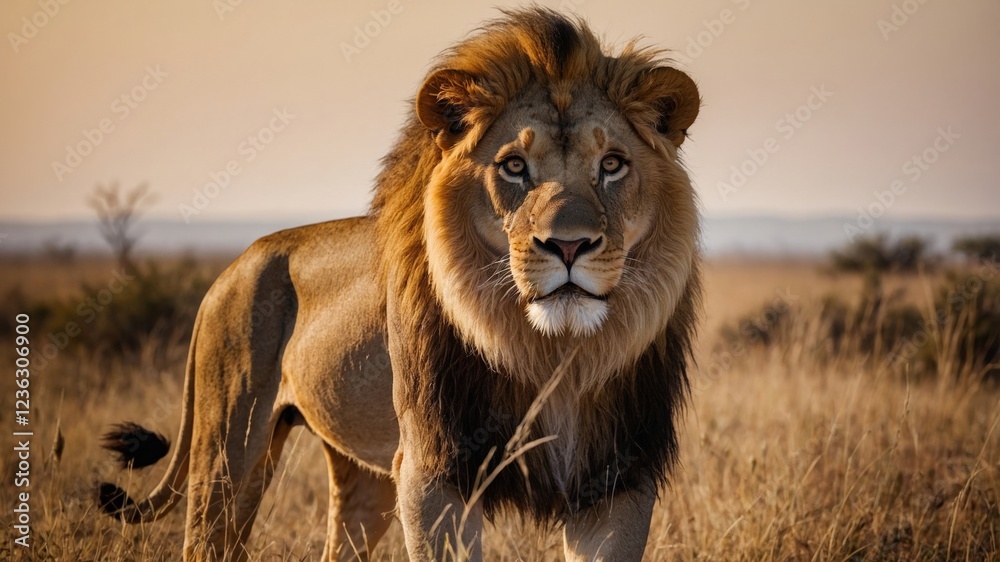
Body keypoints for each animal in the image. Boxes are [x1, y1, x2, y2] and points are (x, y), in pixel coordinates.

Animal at [96, 8, 702, 561]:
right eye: (512, 166)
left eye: (613, 164)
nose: (570, 246)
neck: (551, 353)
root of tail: (230, 269)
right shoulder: (433, 472)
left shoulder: (619, 477)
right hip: (227, 449)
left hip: (361, 477)